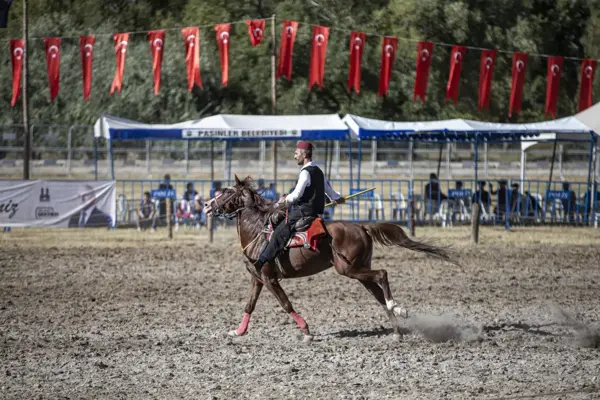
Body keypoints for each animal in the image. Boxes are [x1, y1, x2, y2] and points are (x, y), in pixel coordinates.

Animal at [203, 175, 454, 340]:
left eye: (227, 191)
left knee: (383, 275)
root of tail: (362, 227)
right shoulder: (257, 277)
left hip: (349, 269)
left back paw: (397, 309)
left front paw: (306, 331)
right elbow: (249, 305)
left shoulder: (268, 277)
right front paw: (238, 331)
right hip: (358, 270)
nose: (206, 205)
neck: (258, 230)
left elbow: (285, 303)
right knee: (378, 293)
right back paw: (396, 329)